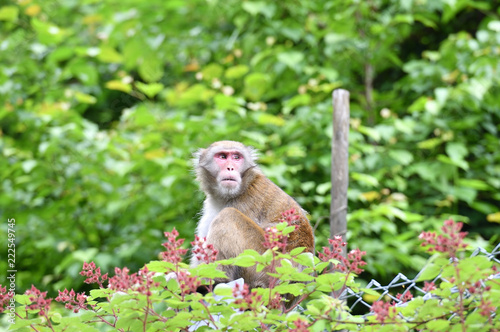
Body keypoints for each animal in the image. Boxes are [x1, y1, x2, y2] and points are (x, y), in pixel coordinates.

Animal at [190, 139, 312, 298]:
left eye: (236, 157)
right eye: (222, 156)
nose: (230, 167)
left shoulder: (244, 203)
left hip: (266, 267)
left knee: (228, 216)